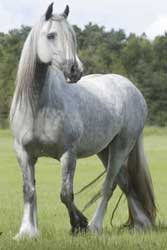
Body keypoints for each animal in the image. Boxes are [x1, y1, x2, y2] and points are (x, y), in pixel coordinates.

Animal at [9, 3, 156, 238]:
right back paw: (142, 223)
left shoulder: (68, 154)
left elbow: (66, 194)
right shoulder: (23, 152)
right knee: (125, 182)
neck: (39, 105)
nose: (74, 70)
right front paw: (27, 232)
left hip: (122, 146)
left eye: (73, 36)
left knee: (109, 185)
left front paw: (79, 224)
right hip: (105, 150)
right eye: (51, 35)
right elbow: (29, 190)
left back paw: (95, 226)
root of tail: (132, 89)